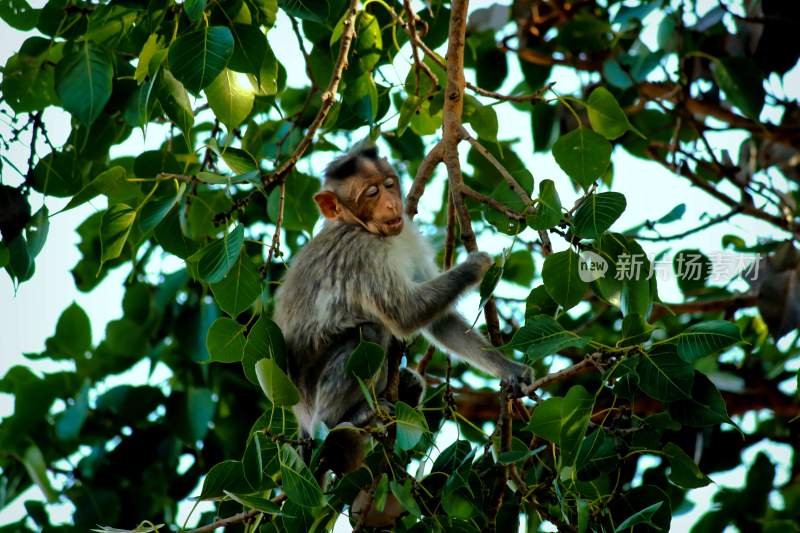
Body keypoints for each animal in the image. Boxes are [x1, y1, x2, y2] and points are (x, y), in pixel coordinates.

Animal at [272, 145, 536, 474]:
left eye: (388, 184)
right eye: (370, 193)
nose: (390, 203)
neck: (360, 227)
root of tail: (303, 424)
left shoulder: (404, 234)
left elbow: (440, 322)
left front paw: (510, 369)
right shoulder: (363, 253)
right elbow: (404, 314)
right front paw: (476, 266)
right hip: (314, 401)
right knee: (371, 332)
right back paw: (343, 421)